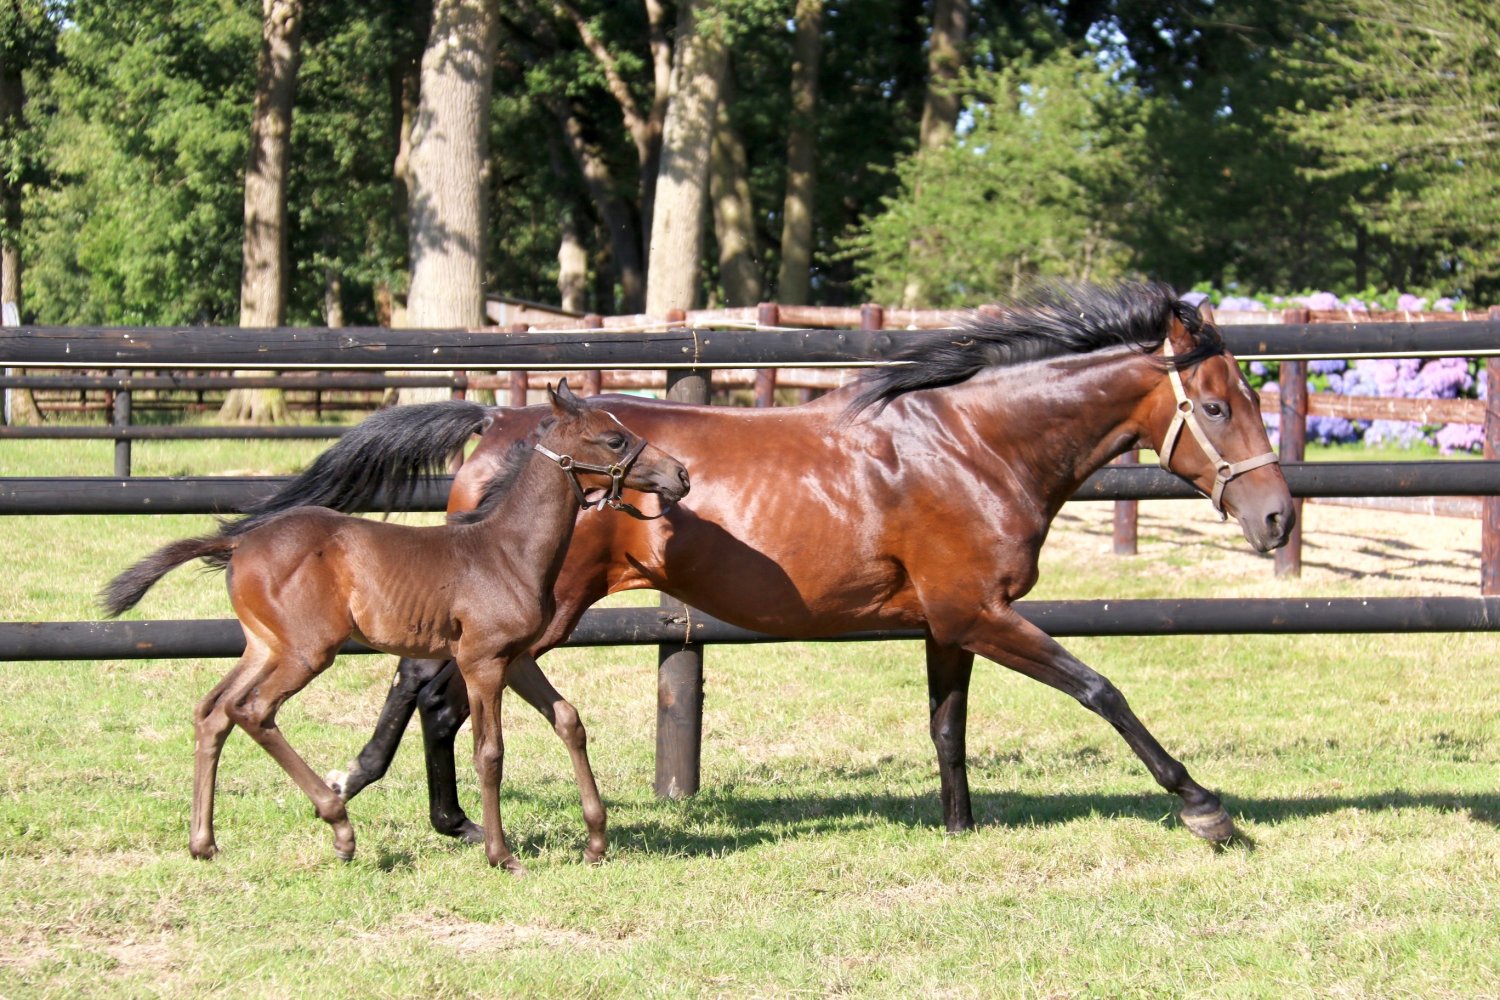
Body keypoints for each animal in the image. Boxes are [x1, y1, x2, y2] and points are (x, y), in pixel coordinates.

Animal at [99, 382, 691, 871]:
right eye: (614, 439)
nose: (680, 475)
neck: (505, 549)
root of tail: (239, 543)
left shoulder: (518, 656)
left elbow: (568, 720)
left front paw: (596, 840)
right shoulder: (481, 661)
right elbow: (490, 752)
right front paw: (502, 855)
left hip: (264, 648)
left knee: (213, 711)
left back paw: (204, 842)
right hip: (307, 652)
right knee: (253, 711)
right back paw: (339, 826)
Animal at [217, 282, 1294, 859]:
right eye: (1218, 402)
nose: (1279, 516)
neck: (971, 446)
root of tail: (497, 423)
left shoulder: (949, 621)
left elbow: (947, 728)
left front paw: (958, 828)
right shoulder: (981, 613)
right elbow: (1101, 687)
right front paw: (1205, 808)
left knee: (424, 683)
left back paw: (416, 808)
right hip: (537, 610)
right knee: (431, 686)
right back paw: (404, 803)